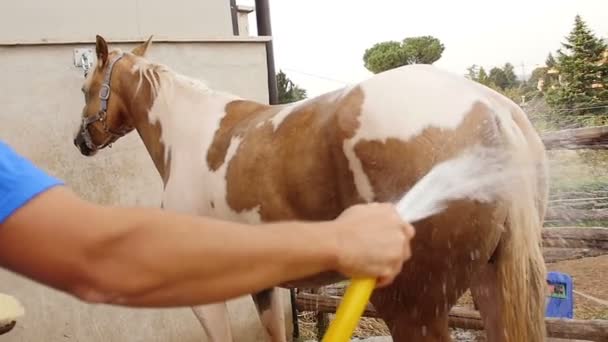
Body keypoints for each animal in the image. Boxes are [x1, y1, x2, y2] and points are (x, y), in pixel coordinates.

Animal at [73, 35, 548, 342]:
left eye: (85, 87)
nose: (81, 141)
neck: (189, 133)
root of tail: (491, 109)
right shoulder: (262, 282)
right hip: (491, 285)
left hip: (413, 309)